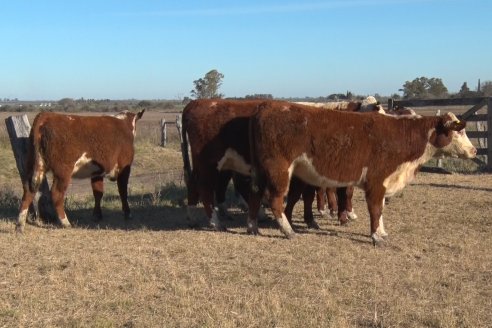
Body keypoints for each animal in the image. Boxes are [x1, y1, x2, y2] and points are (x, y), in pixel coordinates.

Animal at [16, 109, 144, 232]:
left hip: (33, 166)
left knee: (28, 191)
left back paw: (20, 224)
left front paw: (97, 215)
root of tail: (45, 116)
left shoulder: (96, 172)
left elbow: (98, 192)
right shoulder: (124, 168)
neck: (123, 125)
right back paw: (66, 223)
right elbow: (123, 191)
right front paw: (128, 213)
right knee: (56, 194)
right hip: (63, 171)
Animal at [250, 101, 476, 245]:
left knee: (258, 196)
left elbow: (381, 208)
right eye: (459, 131)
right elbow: (375, 209)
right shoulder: (377, 181)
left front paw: (382, 233)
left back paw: (255, 226)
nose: (474, 150)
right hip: (279, 171)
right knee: (276, 200)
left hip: (270, 173)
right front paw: (376, 236)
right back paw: (288, 231)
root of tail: (269, 107)